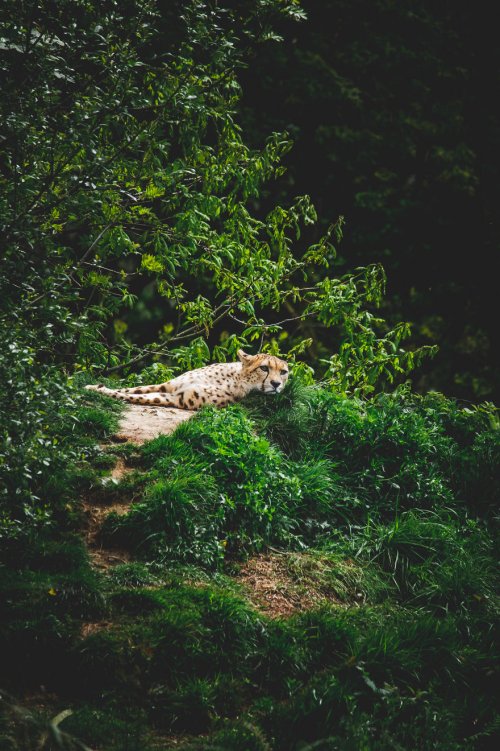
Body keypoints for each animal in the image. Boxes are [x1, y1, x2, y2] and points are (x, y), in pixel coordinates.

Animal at [85, 350, 290, 408]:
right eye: (264, 368)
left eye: (283, 372)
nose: (276, 384)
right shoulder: (168, 386)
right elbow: (133, 389)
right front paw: (93, 386)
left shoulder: (178, 398)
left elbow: (137, 396)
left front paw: (98, 390)